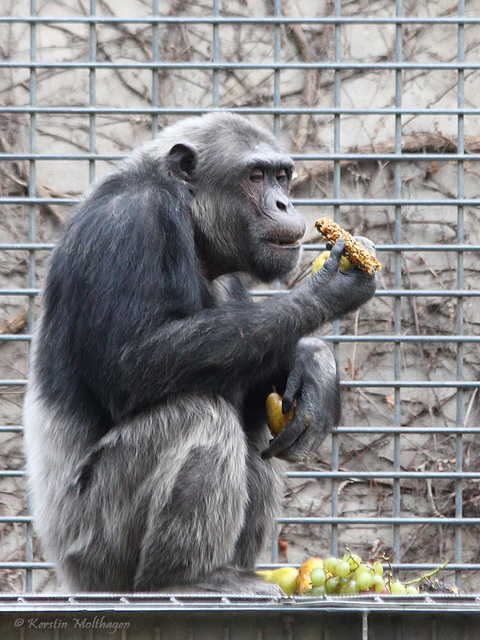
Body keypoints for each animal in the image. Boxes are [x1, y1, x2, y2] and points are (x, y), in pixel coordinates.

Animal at [23, 111, 376, 596]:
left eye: (282, 176)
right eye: (255, 176)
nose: (284, 203)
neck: (190, 225)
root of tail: (71, 577)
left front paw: (314, 366)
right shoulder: (130, 226)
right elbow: (131, 365)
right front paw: (328, 287)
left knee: (254, 420)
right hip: (96, 551)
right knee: (198, 415)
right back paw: (189, 578)